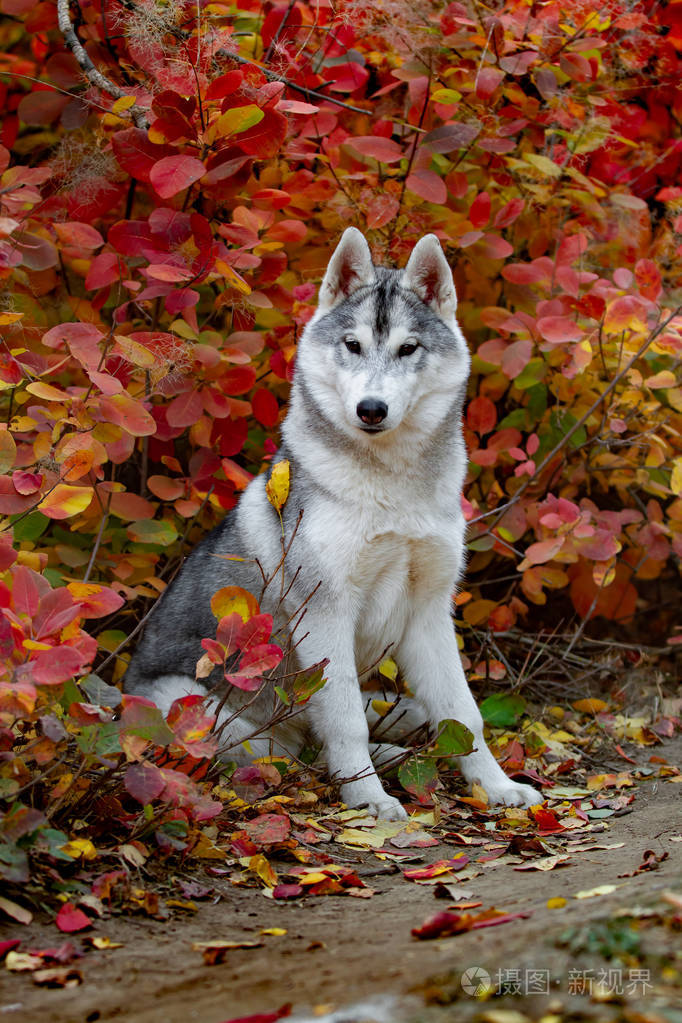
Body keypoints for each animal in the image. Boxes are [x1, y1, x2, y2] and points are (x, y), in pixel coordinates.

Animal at [125, 228, 539, 818]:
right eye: (352, 345)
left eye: (408, 348)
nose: (371, 408)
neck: (391, 489)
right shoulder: (327, 613)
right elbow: (344, 723)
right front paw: (368, 798)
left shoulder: (430, 612)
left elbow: (464, 714)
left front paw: (497, 786)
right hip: (204, 711)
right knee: (290, 754)